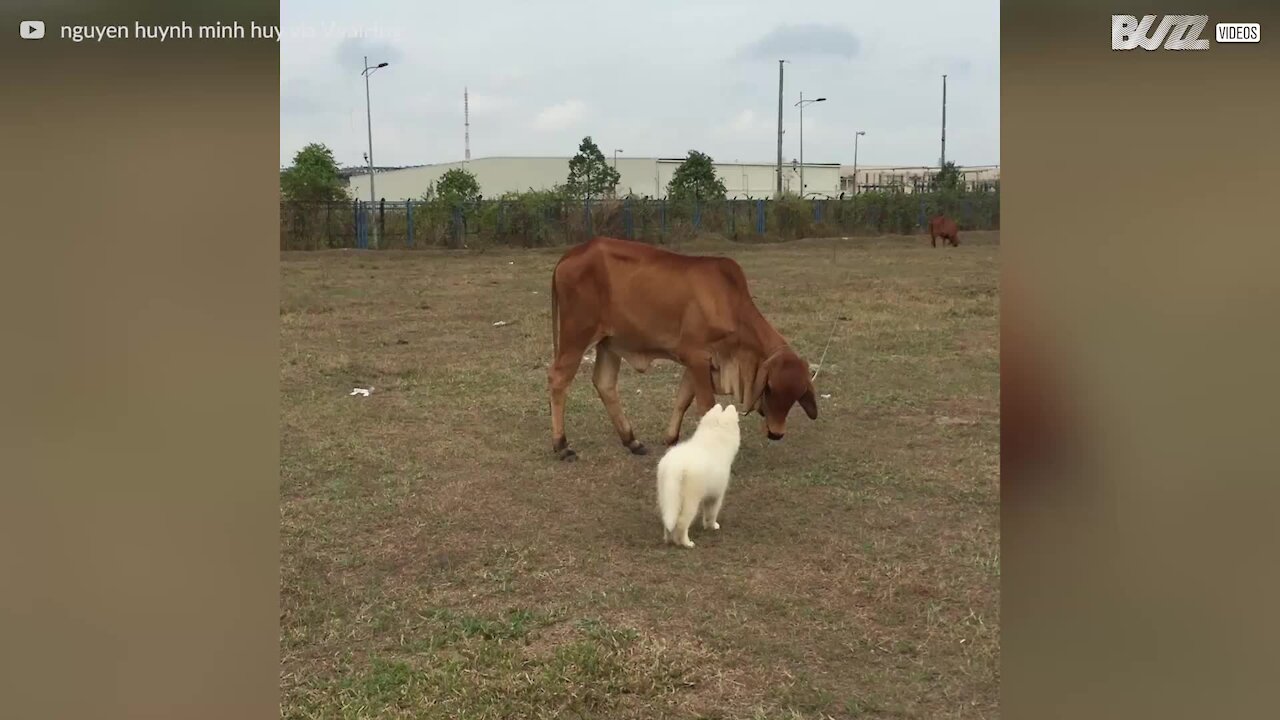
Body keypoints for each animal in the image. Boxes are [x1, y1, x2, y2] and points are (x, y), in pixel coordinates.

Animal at [545, 235, 814, 458]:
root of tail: (571, 254)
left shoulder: (697, 362)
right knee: (558, 379)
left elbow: (683, 399)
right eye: (771, 388)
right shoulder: (696, 357)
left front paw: (671, 438)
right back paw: (561, 445)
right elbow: (706, 406)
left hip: (609, 343)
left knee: (605, 384)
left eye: (797, 394)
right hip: (576, 336)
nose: (776, 434)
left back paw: (631, 441)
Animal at [655, 399, 747, 545]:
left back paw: (669, 540)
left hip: (667, 496)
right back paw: (687, 543)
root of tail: (675, 466)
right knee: (682, 522)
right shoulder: (716, 495)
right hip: (690, 499)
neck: (714, 439)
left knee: (668, 519)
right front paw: (712, 526)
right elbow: (711, 513)